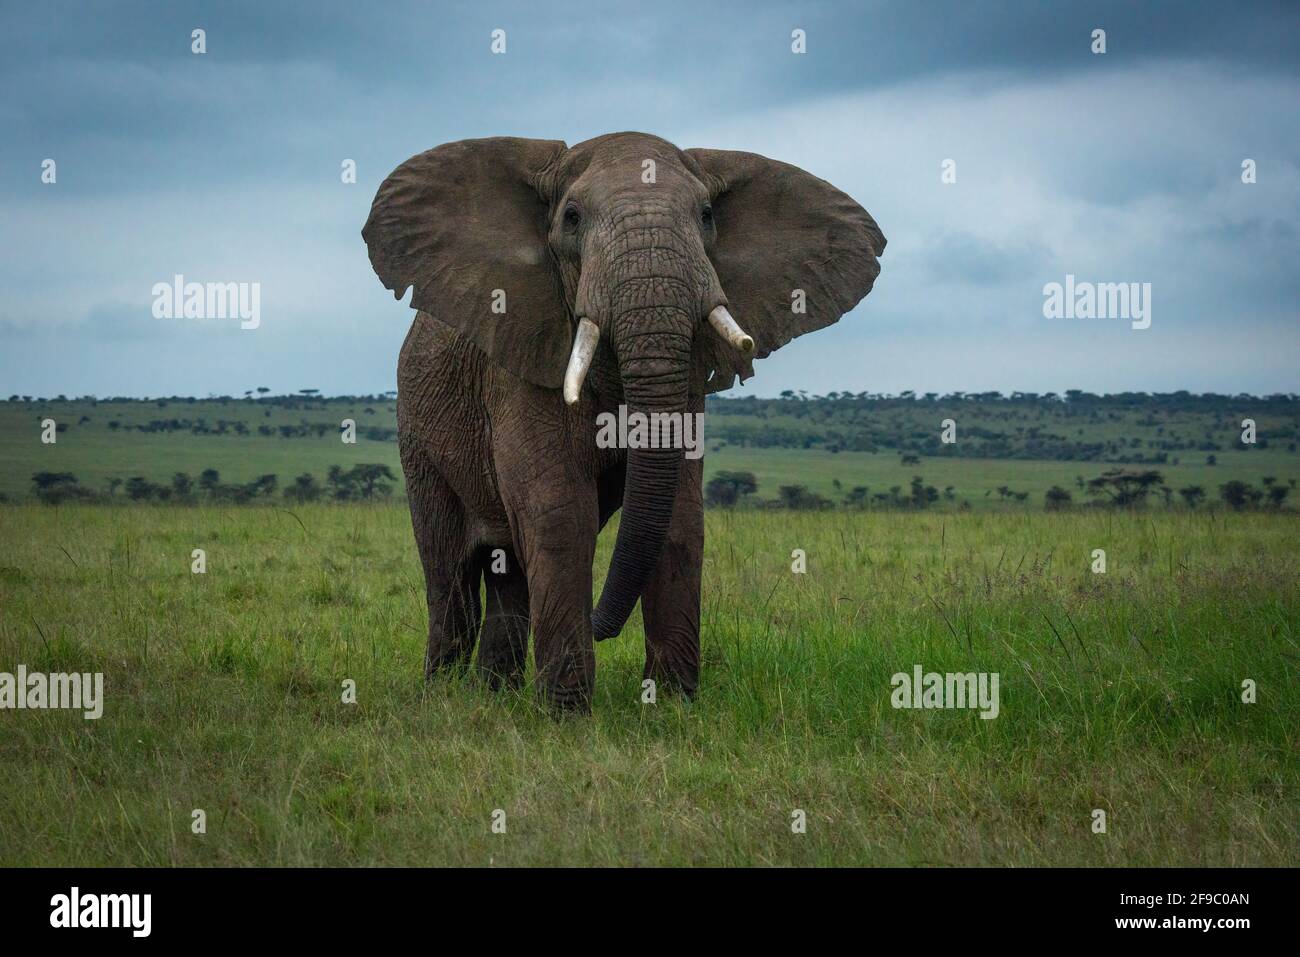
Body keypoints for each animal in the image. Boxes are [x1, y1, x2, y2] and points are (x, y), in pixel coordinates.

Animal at [363, 131, 884, 712]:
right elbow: (559, 513)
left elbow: (679, 521)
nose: (599, 625)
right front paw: (566, 714)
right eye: (571, 218)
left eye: (707, 215)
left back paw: (495, 696)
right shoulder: (523, 360)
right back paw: (444, 697)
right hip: (416, 435)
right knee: (450, 576)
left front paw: (671, 707)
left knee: (507, 572)